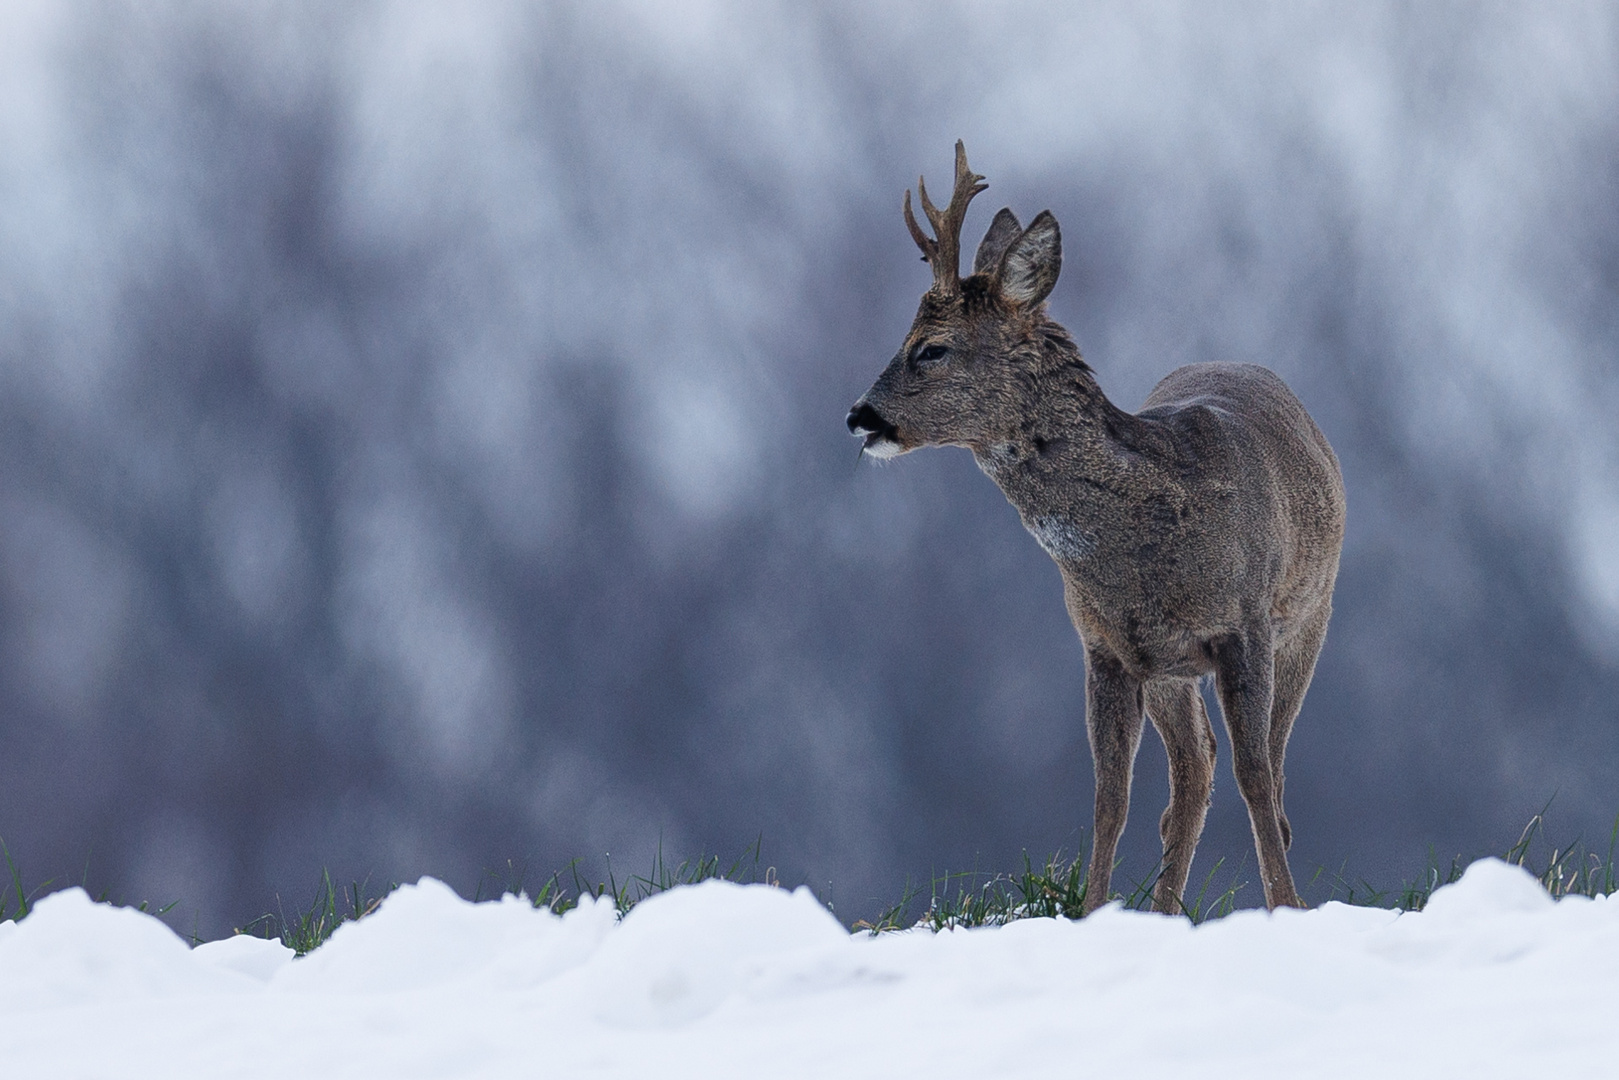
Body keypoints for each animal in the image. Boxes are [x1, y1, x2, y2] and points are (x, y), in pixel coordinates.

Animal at [848, 139, 1340, 906]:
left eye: (931, 346)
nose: (858, 416)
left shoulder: (1246, 624)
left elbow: (1256, 777)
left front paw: (1287, 908)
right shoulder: (1105, 646)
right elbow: (1110, 798)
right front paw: (1090, 911)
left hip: (1310, 618)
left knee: (1267, 774)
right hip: (1170, 669)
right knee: (1192, 773)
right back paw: (1165, 910)